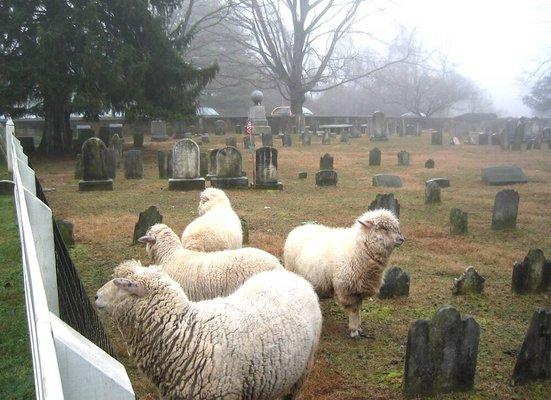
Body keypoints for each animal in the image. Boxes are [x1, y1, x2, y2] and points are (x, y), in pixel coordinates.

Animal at [284, 209, 406, 338]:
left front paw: (359, 327)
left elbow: (359, 308)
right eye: (382, 228)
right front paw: (354, 330)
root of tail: (300, 227)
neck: (358, 250)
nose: (401, 239)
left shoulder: (359, 289)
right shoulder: (347, 289)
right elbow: (353, 310)